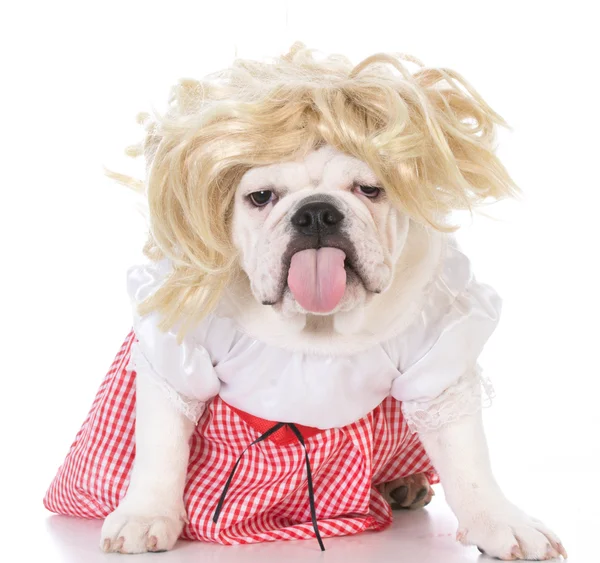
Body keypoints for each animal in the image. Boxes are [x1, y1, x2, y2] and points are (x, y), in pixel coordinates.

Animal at [61, 44, 568, 560]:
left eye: (370, 189)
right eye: (260, 197)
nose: (317, 212)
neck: (317, 326)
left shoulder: (438, 353)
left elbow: (468, 460)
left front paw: (502, 522)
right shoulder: (179, 354)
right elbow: (161, 445)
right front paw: (146, 515)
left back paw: (404, 482)